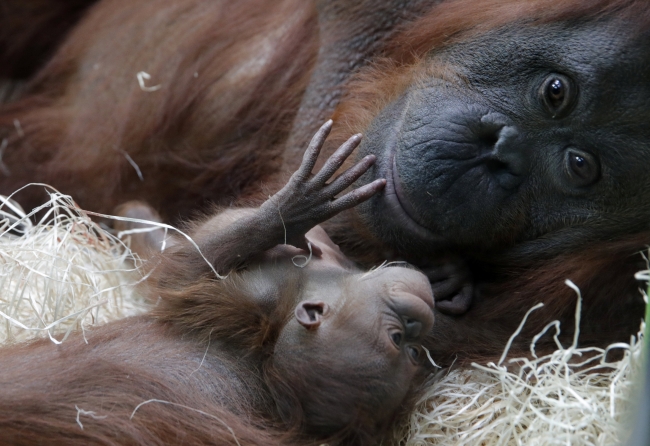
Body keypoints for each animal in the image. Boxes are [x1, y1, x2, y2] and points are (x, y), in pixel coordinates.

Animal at [0, 122, 435, 445]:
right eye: (403, 342)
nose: (419, 323)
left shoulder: (258, 294)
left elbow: (173, 276)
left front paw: (286, 211)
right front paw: (292, 212)